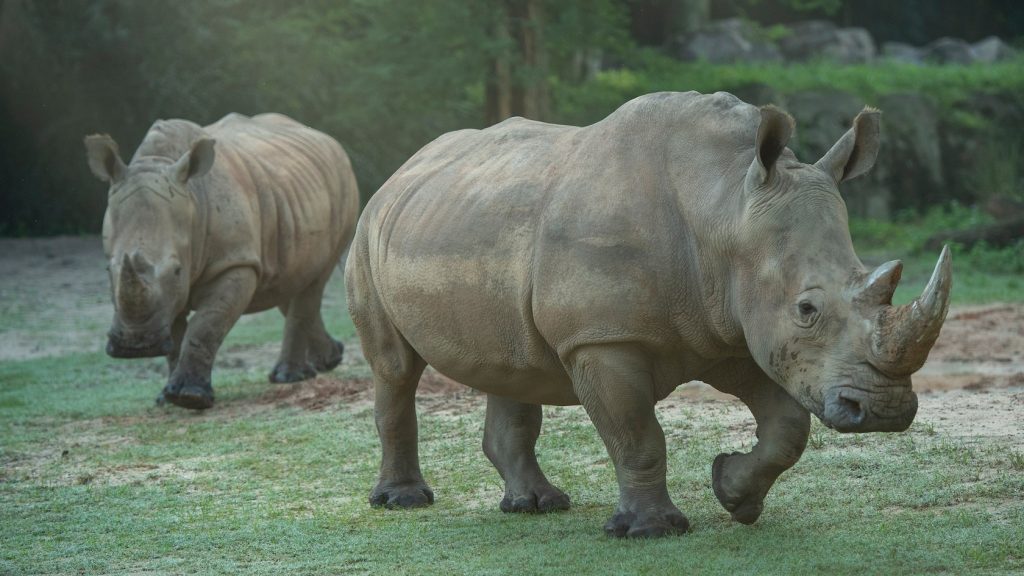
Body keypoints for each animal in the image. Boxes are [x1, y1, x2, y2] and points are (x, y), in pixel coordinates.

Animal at [87, 112, 360, 407]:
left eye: (177, 270)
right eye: (108, 269)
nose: (136, 345)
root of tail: (330, 142)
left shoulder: (235, 263)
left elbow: (205, 326)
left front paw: (190, 398)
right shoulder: (169, 292)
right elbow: (175, 332)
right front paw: (167, 398)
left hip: (344, 191)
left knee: (313, 280)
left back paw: (289, 377)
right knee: (291, 278)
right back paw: (329, 360)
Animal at [346, 91, 950, 537]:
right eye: (807, 309)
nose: (885, 410)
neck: (723, 206)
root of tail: (405, 167)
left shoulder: (731, 326)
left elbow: (788, 427)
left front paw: (734, 495)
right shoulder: (601, 338)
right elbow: (637, 435)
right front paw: (652, 529)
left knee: (512, 365)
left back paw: (536, 504)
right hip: (370, 228)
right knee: (395, 369)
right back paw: (404, 502)